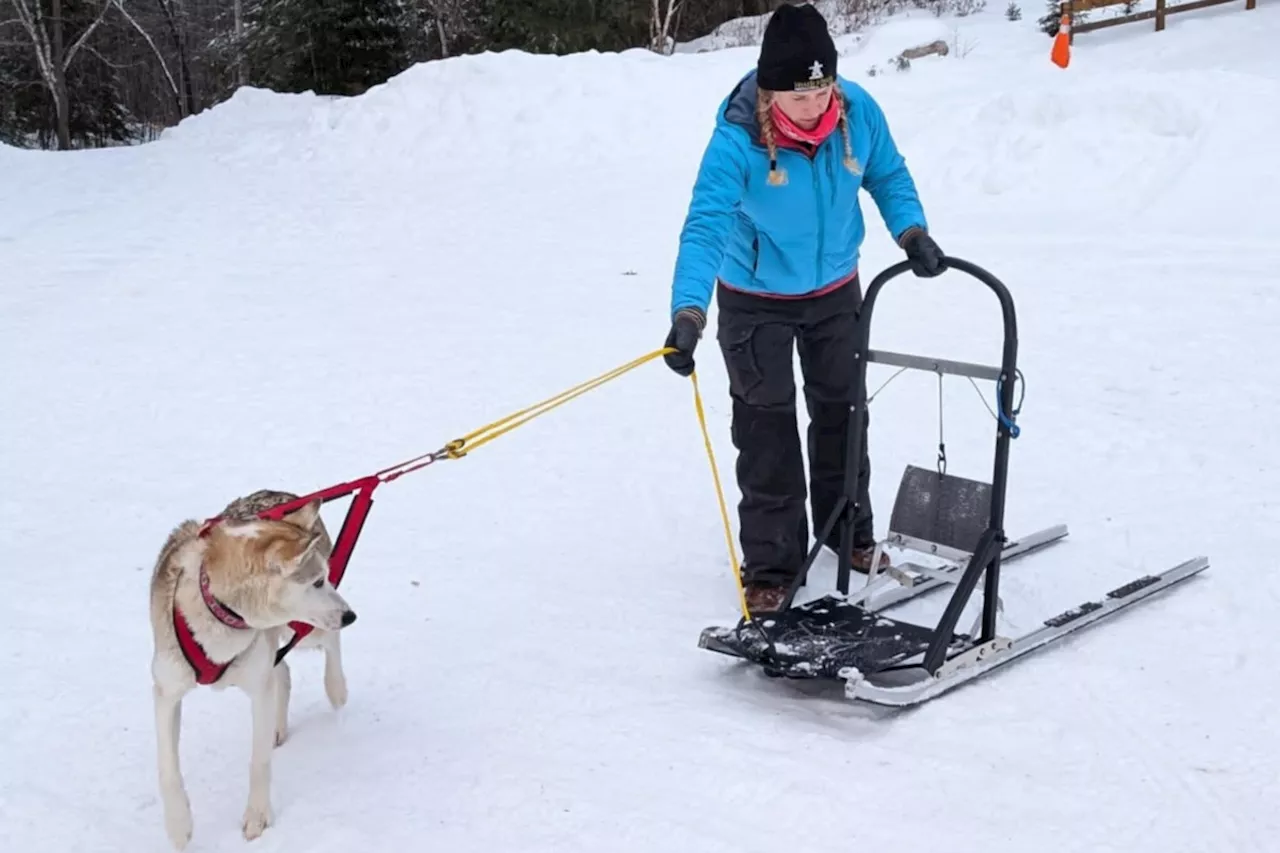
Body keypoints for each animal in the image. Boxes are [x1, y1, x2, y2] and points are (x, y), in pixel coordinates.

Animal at [150, 489, 360, 845]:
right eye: (317, 582)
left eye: (325, 578)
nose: (351, 615)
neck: (220, 611)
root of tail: (281, 495)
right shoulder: (167, 691)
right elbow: (168, 769)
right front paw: (179, 826)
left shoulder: (257, 688)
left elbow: (258, 761)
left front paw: (257, 817)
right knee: (283, 673)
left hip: (306, 629)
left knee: (329, 645)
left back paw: (337, 687)